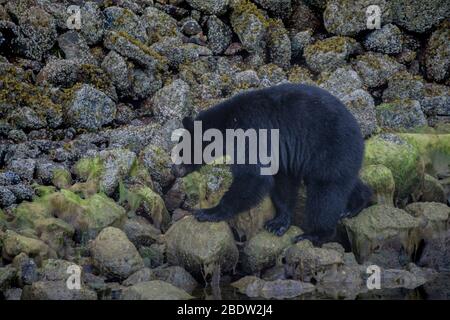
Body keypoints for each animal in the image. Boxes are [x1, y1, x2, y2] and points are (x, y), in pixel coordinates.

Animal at [171, 83, 370, 245]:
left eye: (181, 150)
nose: (174, 170)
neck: (228, 123)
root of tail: (359, 131)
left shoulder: (249, 132)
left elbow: (253, 177)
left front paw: (209, 212)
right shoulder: (282, 154)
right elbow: (283, 181)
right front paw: (278, 222)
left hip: (331, 147)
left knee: (325, 192)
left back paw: (315, 233)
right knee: (343, 182)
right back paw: (356, 204)